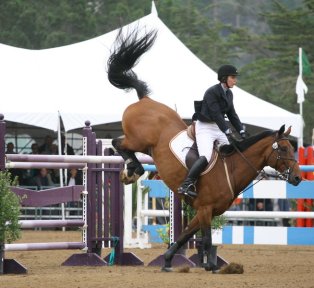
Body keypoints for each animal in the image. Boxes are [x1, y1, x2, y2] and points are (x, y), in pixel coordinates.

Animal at [108, 27, 302, 272]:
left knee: (120, 143)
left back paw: (131, 171)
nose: (298, 178)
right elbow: (207, 239)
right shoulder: (205, 209)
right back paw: (132, 170)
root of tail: (145, 99)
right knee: (117, 143)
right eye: (284, 149)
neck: (231, 168)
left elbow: (184, 236)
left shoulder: (203, 211)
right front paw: (210, 265)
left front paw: (168, 260)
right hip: (137, 141)